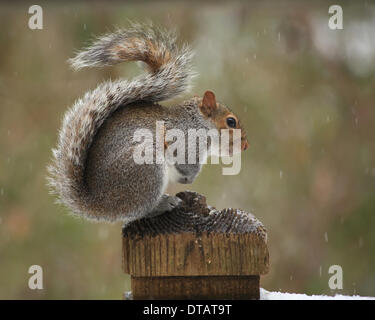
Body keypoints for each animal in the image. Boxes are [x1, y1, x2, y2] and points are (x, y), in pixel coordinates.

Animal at [48, 23, 250, 224]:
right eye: (231, 122)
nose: (246, 145)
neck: (198, 122)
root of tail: (101, 204)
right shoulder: (187, 142)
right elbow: (186, 163)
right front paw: (189, 177)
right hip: (148, 168)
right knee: (142, 210)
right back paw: (164, 203)